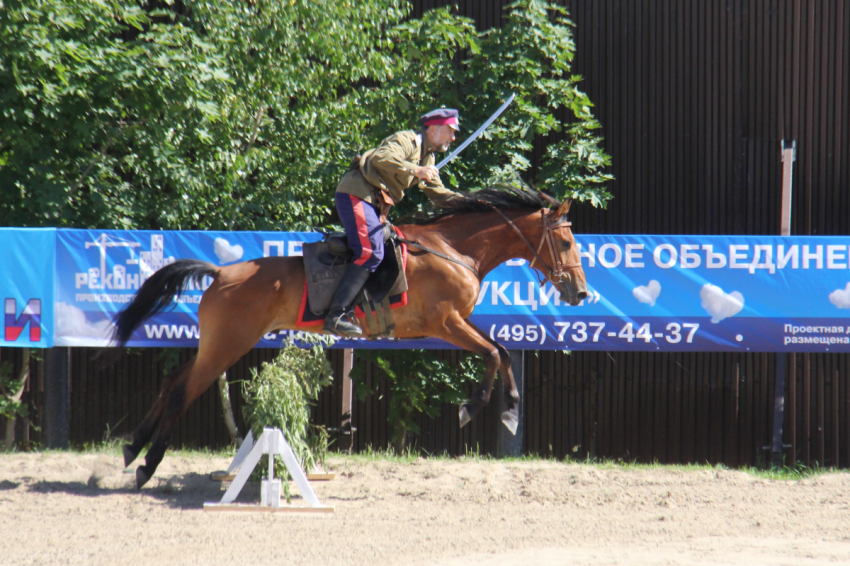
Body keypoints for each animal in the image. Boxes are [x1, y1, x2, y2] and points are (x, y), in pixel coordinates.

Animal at [116, 186, 588, 488]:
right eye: (566, 242)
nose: (580, 293)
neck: (454, 250)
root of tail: (220, 273)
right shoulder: (446, 323)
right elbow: (492, 354)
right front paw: (474, 408)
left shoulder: (456, 323)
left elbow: (502, 351)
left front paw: (510, 410)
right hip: (229, 345)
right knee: (182, 392)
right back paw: (147, 465)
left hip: (216, 344)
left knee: (171, 382)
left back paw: (132, 448)